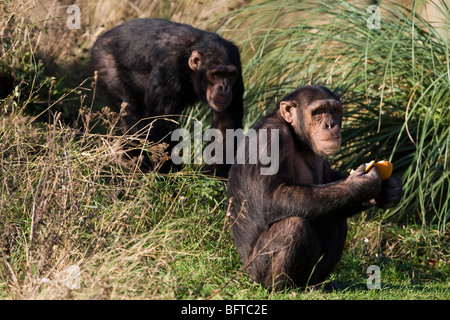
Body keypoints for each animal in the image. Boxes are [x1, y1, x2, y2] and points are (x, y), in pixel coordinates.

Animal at [91, 18, 244, 178]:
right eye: (216, 75)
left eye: (230, 75)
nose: (224, 87)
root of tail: (103, 36)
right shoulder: (169, 70)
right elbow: (161, 121)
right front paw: (169, 173)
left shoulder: (237, 70)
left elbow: (225, 124)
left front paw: (215, 177)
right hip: (105, 62)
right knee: (130, 115)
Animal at [227, 85, 402, 290]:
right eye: (317, 112)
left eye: (333, 110)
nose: (330, 124)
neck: (297, 137)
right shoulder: (270, 137)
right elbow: (269, 196)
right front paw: (361, 184)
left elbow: (328, 182)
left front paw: (389, 191)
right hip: (256, 272)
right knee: (292, 226)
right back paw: (281, 288)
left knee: (337, 218)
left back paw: (319, 285)